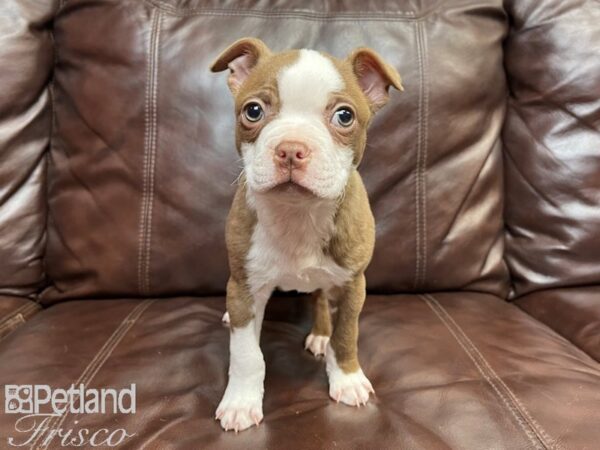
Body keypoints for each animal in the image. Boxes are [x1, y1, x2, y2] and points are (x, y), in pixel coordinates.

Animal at [209, 38, 400, 432]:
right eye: (253, 111)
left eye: (344, 116)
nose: (291, 149)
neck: (297, 214)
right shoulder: (245, 286)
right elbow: (246, 353)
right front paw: (241, 402)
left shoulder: (354, 283)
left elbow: (347, 334)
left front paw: (347, 378)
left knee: (321, 300)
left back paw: (321, 334)